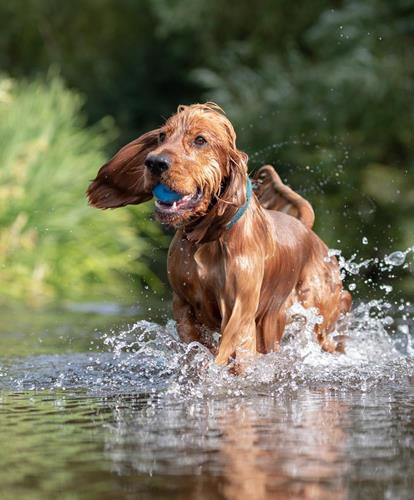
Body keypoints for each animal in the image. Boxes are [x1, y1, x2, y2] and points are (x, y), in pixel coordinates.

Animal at [88, 102, 352, 368]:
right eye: (162, 135)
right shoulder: (184, 305)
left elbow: (231, 351)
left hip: (315, 308)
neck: (206, 238)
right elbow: (195, 347)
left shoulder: (240, 310)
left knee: (338, 312)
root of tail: (306, 228)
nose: (154, 162)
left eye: (200, 140)